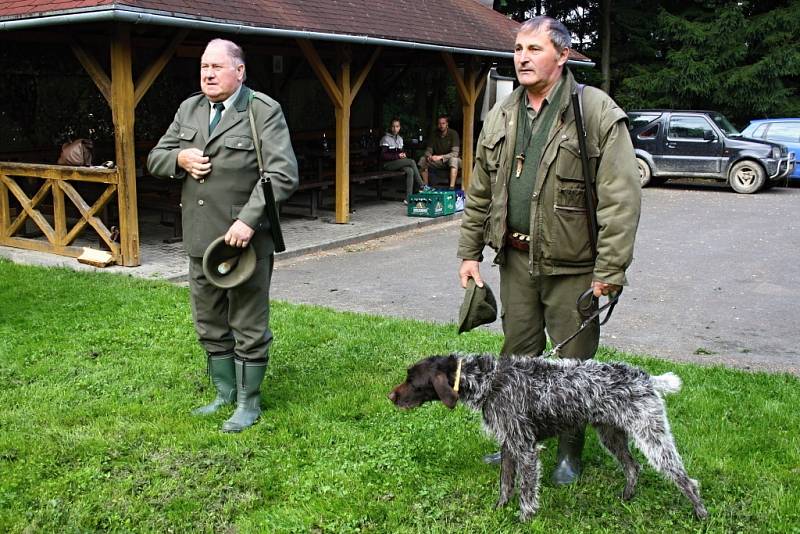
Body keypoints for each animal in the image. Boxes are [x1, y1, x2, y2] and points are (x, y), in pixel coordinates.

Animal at [388, 356, 708, 524]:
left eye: (412, 382)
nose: (390, 396)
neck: (487, 380)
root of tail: (646, 378)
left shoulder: (526, 448)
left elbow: (526, 490)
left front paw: (524, 519)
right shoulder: (509, 444)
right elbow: (505, 484)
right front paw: (498, 510)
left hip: (653, 437)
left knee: (685, 479)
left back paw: (700, 512)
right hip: (611, 434)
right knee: (633, 466)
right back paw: (627, 497)